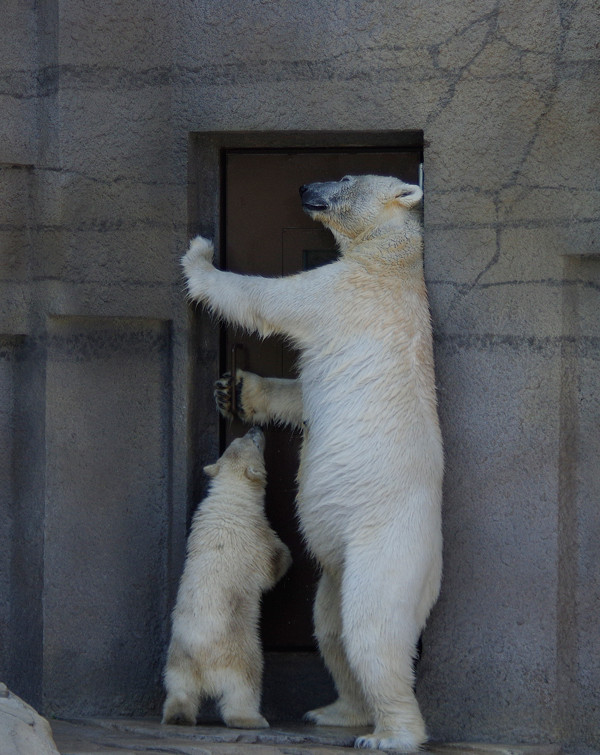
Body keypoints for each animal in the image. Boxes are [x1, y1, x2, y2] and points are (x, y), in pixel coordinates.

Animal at [184, 176, 446, 752]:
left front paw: (200, 256)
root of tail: (433, 574)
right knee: (329, 626)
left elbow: (270, 300)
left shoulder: (343, 294)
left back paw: (390, 734)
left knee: (370, 628)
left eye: (344, 178)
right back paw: (337, 711)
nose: (305, 185)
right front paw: (233, 390)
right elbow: (301, 399)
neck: (394, 259)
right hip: (339, 560)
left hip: (386, 547)